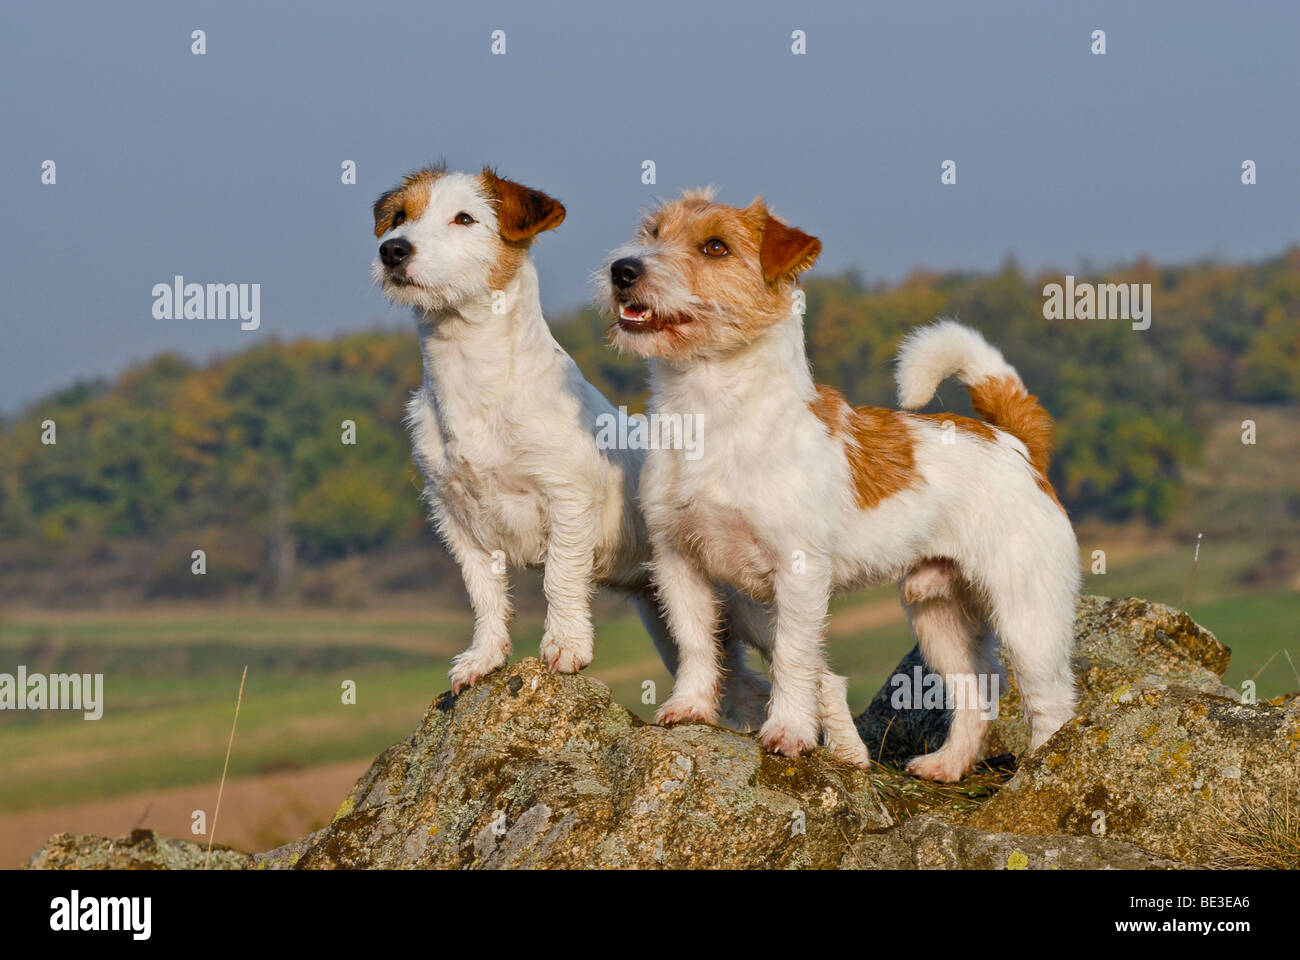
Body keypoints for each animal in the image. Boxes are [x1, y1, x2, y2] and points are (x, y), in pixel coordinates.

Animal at [371, 164, 769, 723]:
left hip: (754, 603)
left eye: (464, 218)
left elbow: (559, 577)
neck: (474, 380)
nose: (393, 250)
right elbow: (484, 593)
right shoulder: (455, 517)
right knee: (742, 688)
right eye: (400, 216)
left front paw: (564, 645)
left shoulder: (568, 500)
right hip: (675, 616)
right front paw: (484, 656)